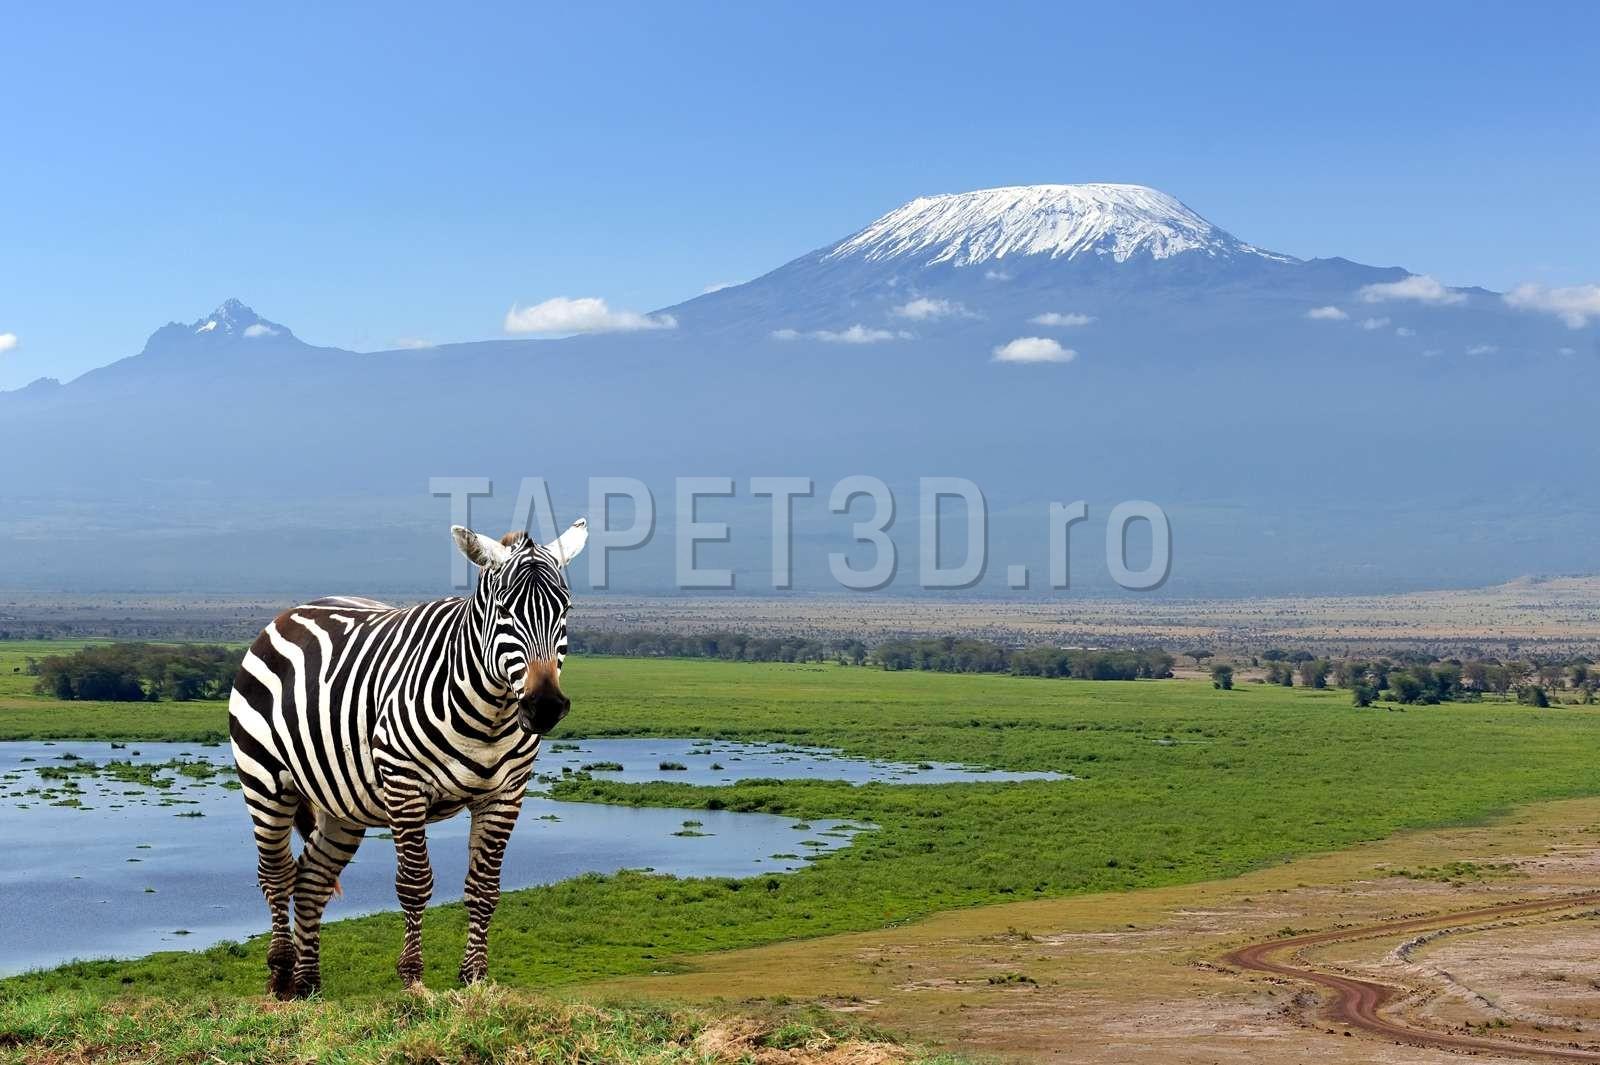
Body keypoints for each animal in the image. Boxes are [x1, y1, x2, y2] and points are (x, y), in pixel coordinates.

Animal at [228, 519, 588, 997]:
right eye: (504, 611)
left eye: (564, 608)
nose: (544, 706)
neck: (490, 715)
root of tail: (292, 613)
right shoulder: (404, 786)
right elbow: (415, 883)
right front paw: (413, 978)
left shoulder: (506, 795)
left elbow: (484, 888)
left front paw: (474, 979)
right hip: (265, 780)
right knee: (277, 874)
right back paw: (282, 973)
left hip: (341, 802)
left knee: (310, 880)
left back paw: (307, 985)